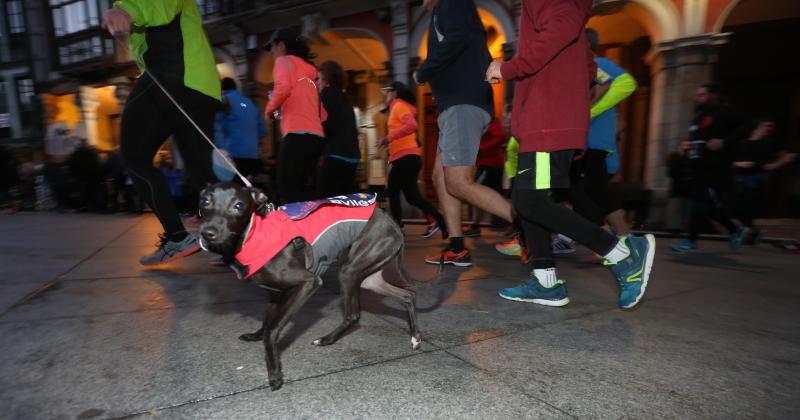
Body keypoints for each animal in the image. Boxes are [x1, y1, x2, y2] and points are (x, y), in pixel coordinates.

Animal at [198, 182, 422, 392]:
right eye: (204, 201)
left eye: (238, 205)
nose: (208, 233)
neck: (253, 235)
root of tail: (392, 222)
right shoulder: (274, 295)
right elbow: (267, 322)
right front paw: (256, 335)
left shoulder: (308, 283)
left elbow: (273, 330)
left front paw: (275, 373)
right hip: (370, 278)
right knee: (407, 295)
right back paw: (415, 337)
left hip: (349, 272)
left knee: (353, 315)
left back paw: (326, 340)